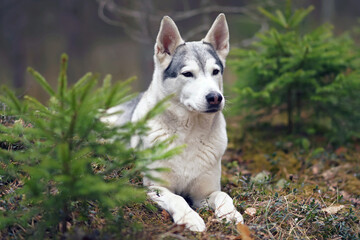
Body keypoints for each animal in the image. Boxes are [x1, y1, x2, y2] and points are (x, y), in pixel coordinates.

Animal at [105, 14, 243, 232]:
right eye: (187, 74)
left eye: (215, 71)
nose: (215, 97)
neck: (190, 134)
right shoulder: (155, 188)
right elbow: (178, 199)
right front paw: (190, 218)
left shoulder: (204, 194)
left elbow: (223, 195)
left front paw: (230, 214)